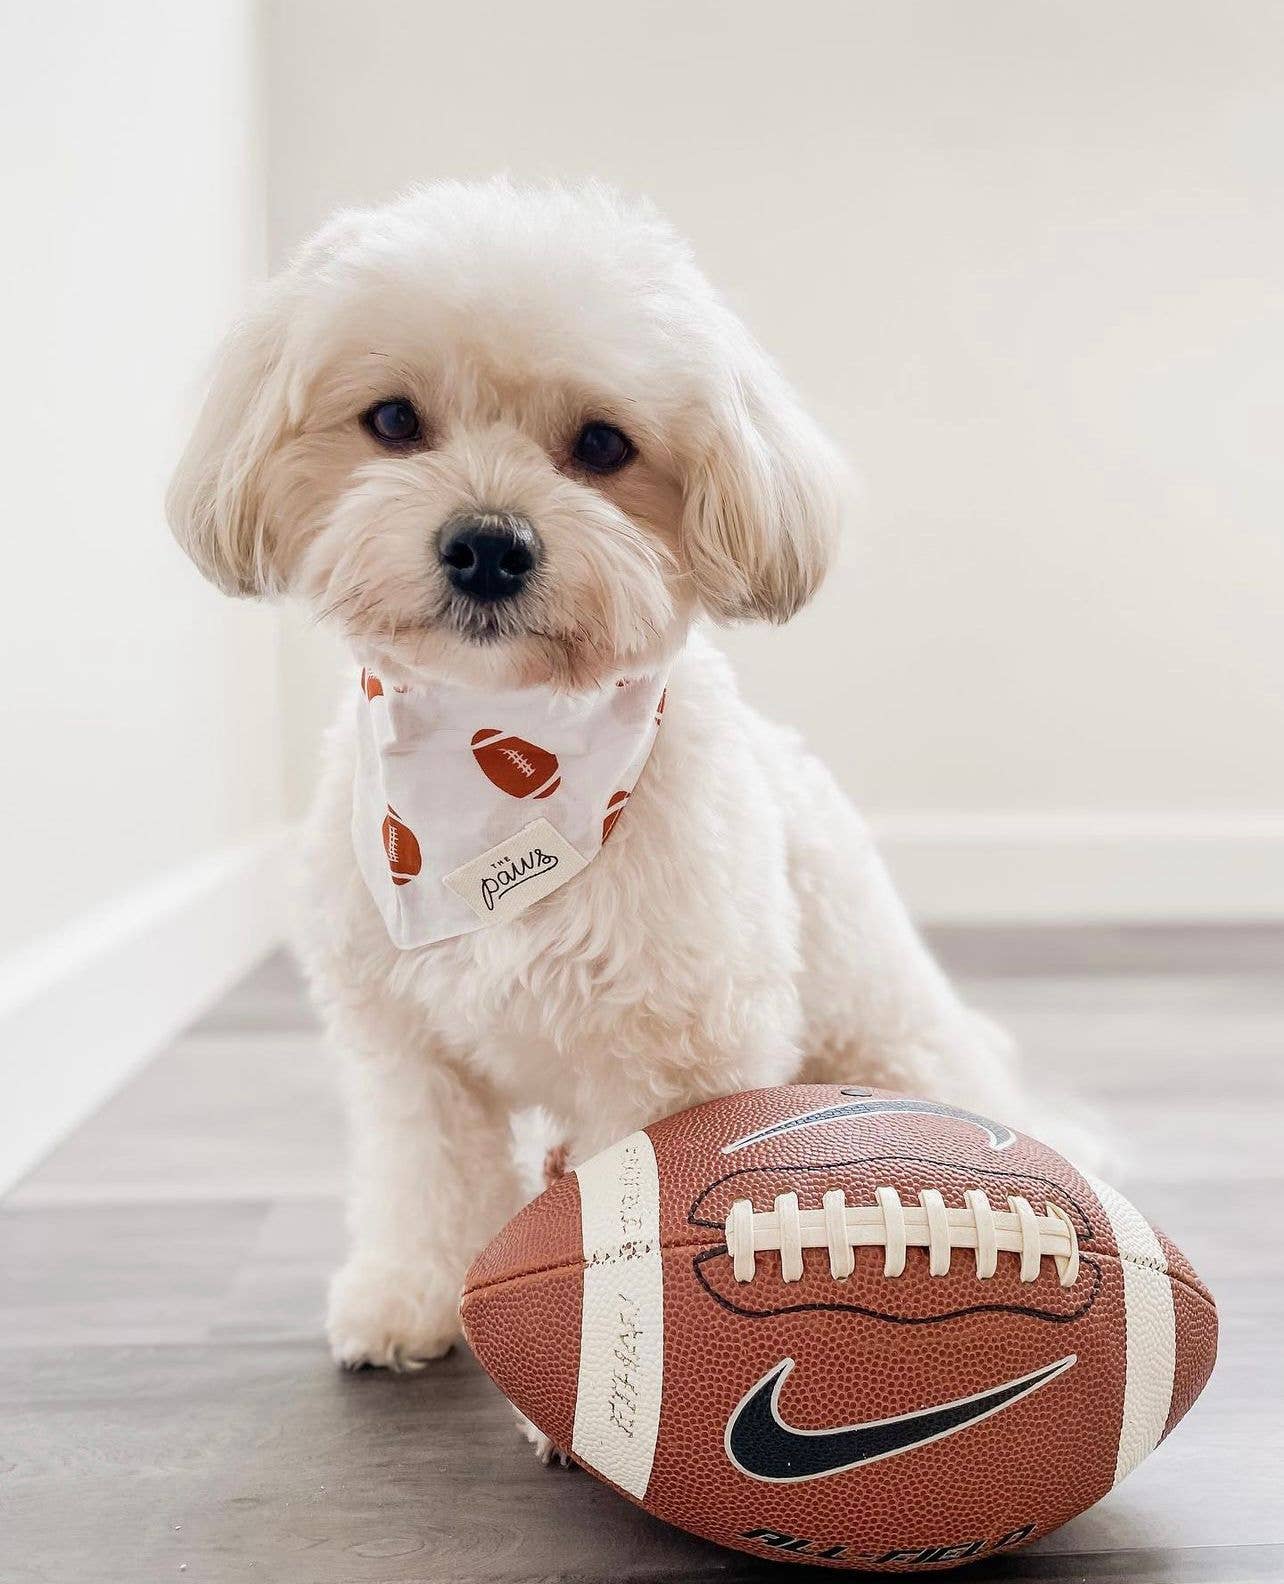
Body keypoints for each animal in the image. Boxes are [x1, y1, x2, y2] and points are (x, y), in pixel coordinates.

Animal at [168, 179, 1025, 1381]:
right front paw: (409, 1293)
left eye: (603, 444)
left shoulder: (678, 1056)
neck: (495, 782)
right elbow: (425, 1175)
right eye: (392, 421)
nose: (488, 544)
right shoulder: (408, 1050)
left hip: (891, 1043)